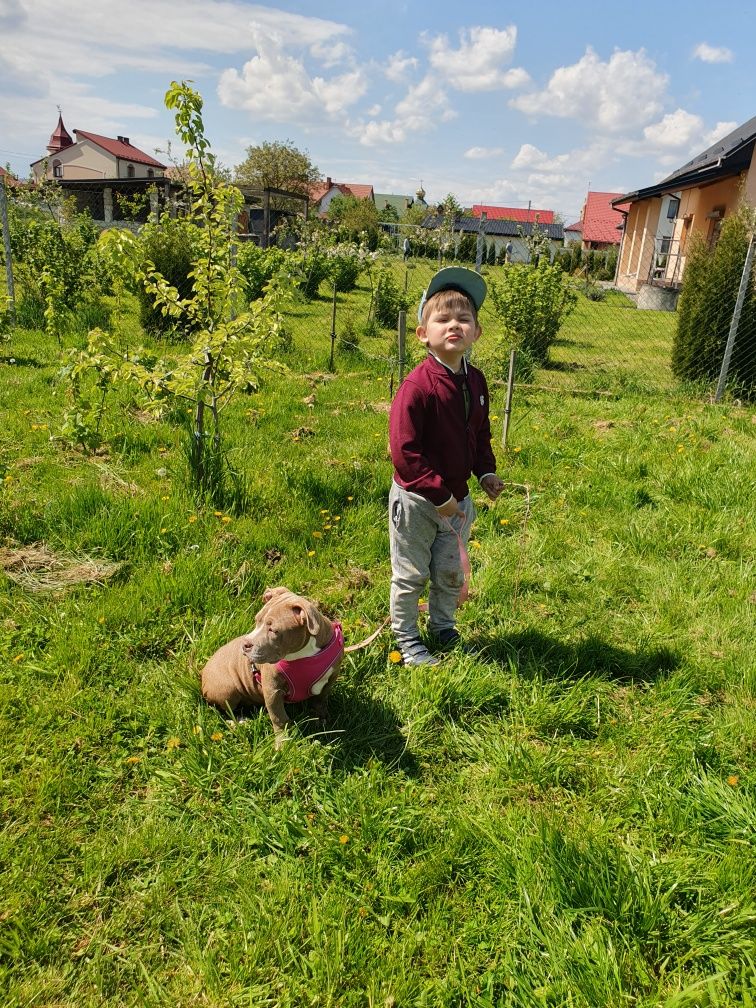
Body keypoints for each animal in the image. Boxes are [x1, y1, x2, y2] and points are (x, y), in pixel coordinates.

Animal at [199, 584, 344, 749]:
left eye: (273, 630)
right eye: (256, 620)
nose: (245, 644)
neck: (303, 655)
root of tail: (202, 674)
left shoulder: (332, 676)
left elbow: (321, 698)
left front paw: (320, 717)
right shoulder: (272, 690)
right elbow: (279, 718)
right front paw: (283, 743)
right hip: (226, 690)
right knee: (223, 711)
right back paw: (239, 722)